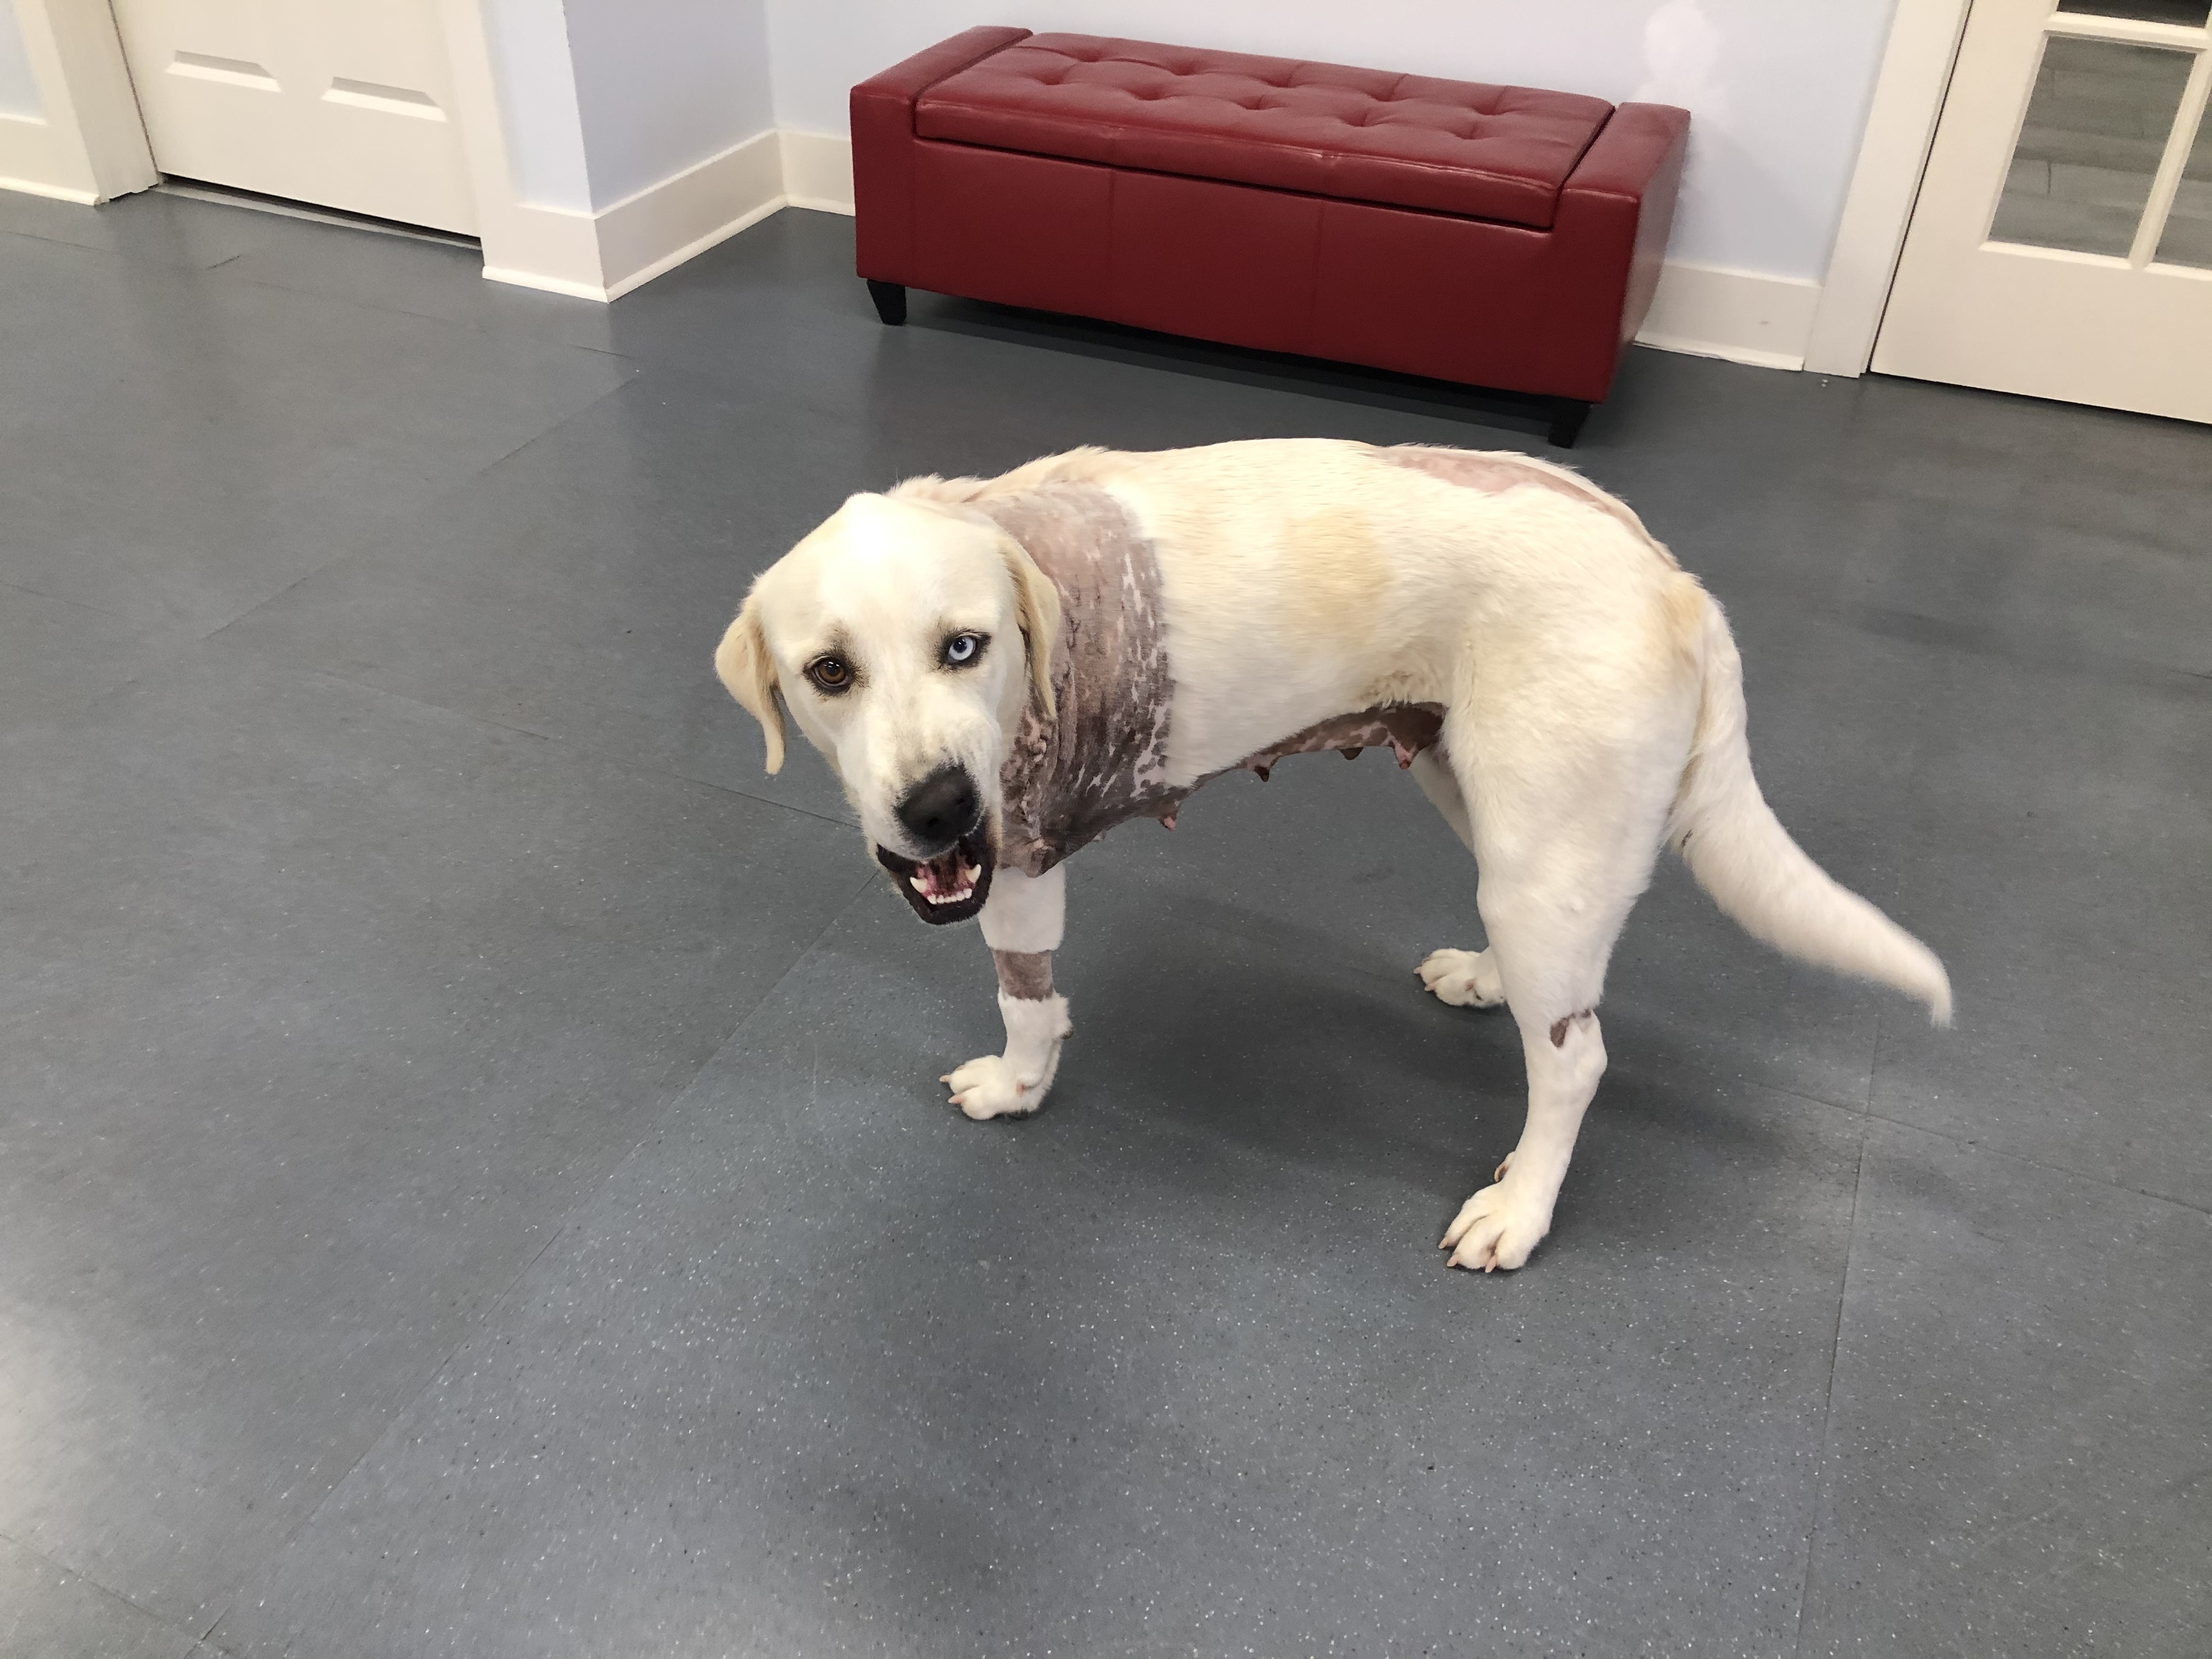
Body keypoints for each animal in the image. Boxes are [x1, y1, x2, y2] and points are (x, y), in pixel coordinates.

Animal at [716, 442, 1946, 1274]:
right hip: (1488, 810)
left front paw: (1020, 1088)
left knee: (1576, 1060)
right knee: (1557, 983)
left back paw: (1521, 1209)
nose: (937, 806)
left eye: (963, 647)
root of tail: (1672, 578)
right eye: (829, 672)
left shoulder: (1018, 860)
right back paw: (1486, 977)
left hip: (1538, 847)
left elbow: (1025, 1004)